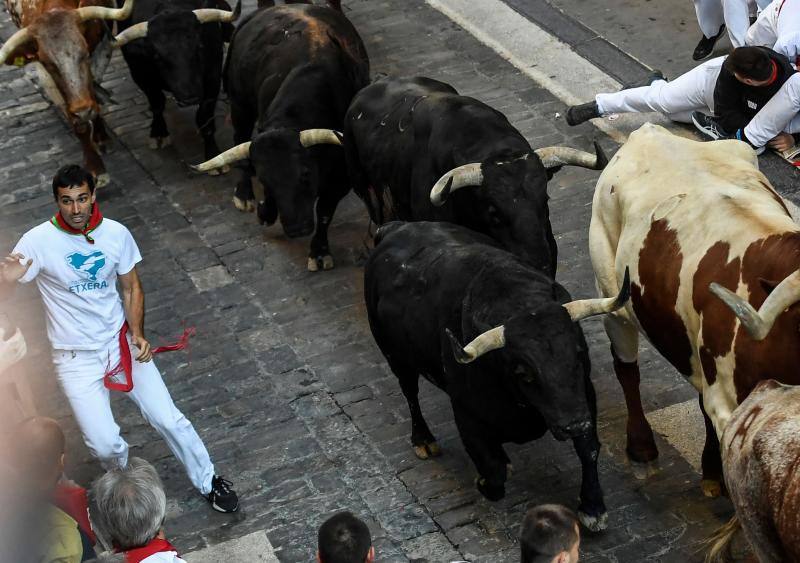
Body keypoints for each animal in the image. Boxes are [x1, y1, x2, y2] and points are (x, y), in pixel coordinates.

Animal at [192, 4, 370, 274]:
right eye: (266, 179)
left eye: (305, 174)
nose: (297, 229)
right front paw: (265, 211)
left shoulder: (341, 176)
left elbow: (325, 211)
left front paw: (319, 252)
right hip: (240, 105)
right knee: (240, 143)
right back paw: (244, 195)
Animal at [362, 221, 632, 532]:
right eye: (523, 372)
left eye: (578, 354)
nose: (573, 424)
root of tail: (395, 227)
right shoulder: (466, 412)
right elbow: (495, 471)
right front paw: (483, 480)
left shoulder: (583, 395)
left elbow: (589, 449)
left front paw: (592, 507)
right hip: (394, 355)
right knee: (409, 392)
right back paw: (423, 439)